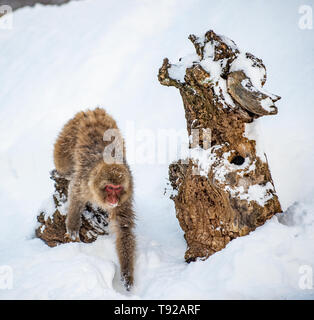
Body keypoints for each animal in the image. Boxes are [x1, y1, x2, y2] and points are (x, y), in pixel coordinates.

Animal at [53, 107, 136, 290]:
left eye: (118, 188)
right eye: (110, 187)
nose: (113, 199)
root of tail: (93, 111)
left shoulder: (125, 198)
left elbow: (124, 229)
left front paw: (126, 273)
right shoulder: (84, 182)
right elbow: (75, 194)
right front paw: (73, 225)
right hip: (68, 137)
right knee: (62, 164)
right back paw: (62, 172)